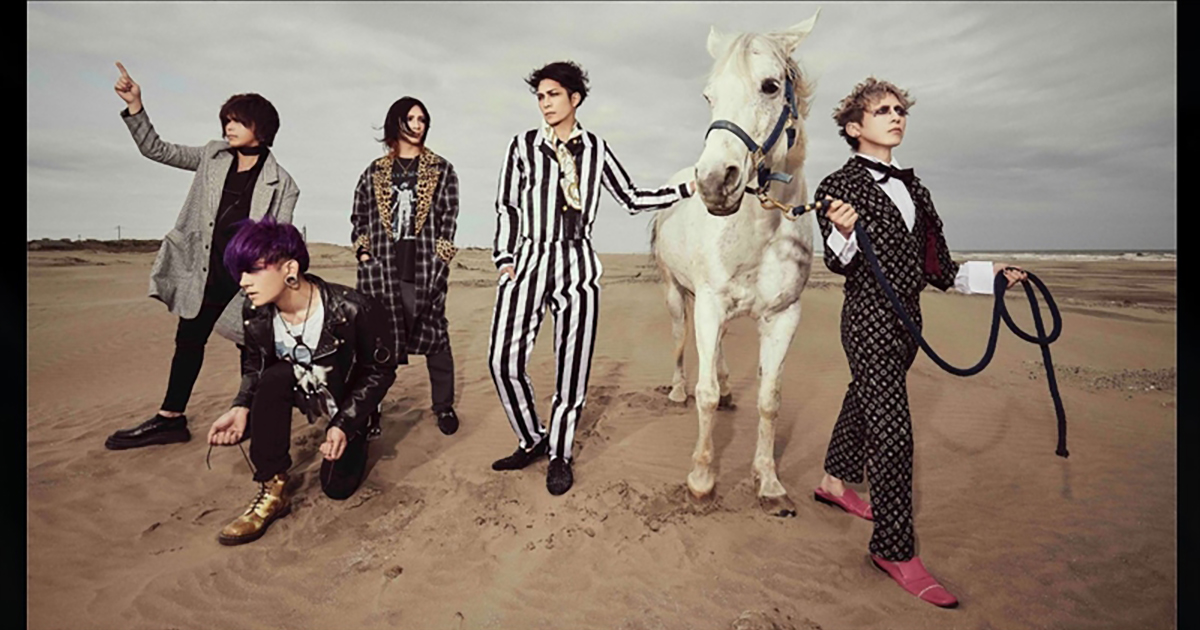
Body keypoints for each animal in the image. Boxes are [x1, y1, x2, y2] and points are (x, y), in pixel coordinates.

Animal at [651, 11, 820, 516]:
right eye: (708, 95)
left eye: (770, 85)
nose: (713, 182)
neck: (761, 231)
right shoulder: (707, 303)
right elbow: (704, 395)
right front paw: (702, 479)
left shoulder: (783, 316)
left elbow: (769, 400)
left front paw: (769, 483)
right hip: (676, 294)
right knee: (681, 343)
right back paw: (677, 390)